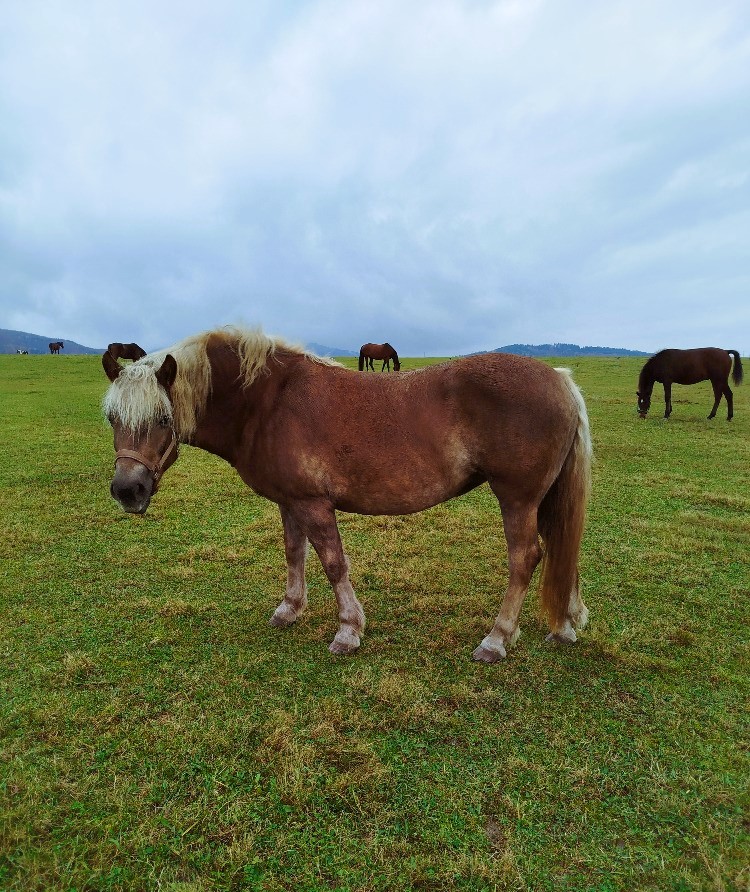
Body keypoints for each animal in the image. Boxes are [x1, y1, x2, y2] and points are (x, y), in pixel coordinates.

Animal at [101, 328, 592, 664]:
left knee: (526, 557)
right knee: (561, 548)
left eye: (163, 418)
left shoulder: (314, 504)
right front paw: (289, 609)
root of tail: (560, 380)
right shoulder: (289, 502)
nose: (128, 490)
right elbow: (294, 553)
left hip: (518, 499)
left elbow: (334, 563)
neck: (267, 402)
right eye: (111, 418)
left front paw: (348, 630)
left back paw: (497, 638)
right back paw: (565, 626)